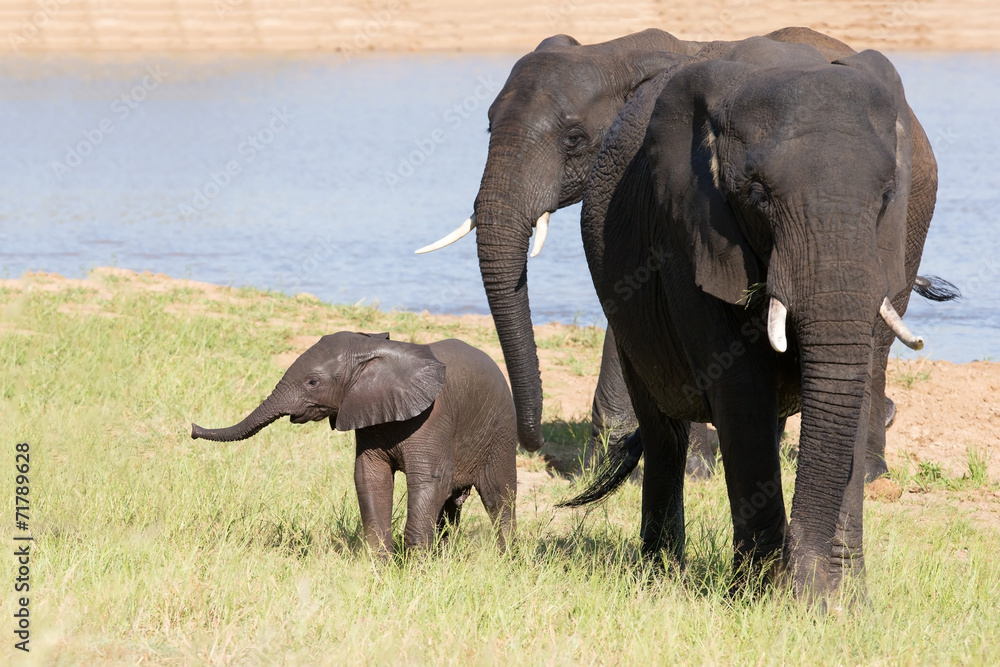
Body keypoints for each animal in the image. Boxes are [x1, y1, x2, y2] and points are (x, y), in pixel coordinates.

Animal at [191, 332, 517, 556]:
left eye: (312, 382)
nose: (192, 429)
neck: (373, 351)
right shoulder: (367, 413)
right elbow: (369, 477)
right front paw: (379, 568)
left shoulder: (433, 419)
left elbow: (430, 481)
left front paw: (416, 574)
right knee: (452, 506)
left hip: (500, 431)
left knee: (498, 497)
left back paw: (507, 563)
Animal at [415, 27, 946, 484]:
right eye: (487, 127)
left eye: (573, 139)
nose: (532, 443)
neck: (619, 53)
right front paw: (616, 460)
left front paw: (678, 465)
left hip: (910, 210)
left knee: (879, 333)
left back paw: (870, 473)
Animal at [568, 38, 930, 601]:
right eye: (758, 196)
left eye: (888, 196)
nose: (805, 585)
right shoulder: (688, 232)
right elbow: (741, 394)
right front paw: (764, 595)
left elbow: (856, 383)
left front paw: (842, 601)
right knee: (663, 432)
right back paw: (661, 573)